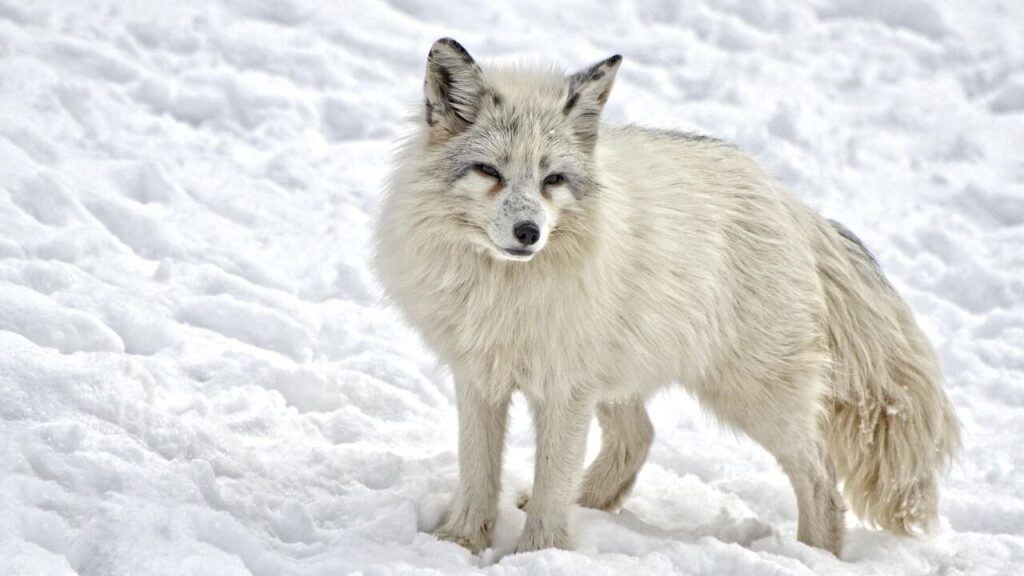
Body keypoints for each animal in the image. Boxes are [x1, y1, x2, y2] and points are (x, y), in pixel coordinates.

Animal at [373, 38, 960, 556]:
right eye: (489, 172)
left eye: (552, 179)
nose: (528, 233)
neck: (506, 290)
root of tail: (788, 202)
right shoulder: (480, 377)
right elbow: (478, 472)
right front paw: (460, 543)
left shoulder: (564, 388)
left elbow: (551, 483)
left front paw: (537, 555)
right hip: (624, 379)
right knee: (639, 438)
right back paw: (589, 505)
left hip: (752, 396)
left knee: (822, 483)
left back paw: (813, 558)